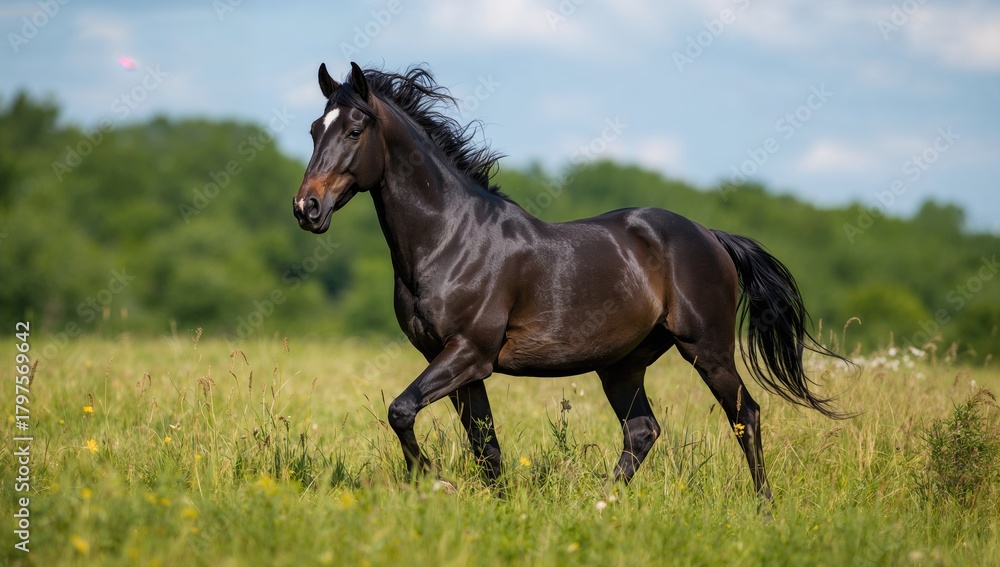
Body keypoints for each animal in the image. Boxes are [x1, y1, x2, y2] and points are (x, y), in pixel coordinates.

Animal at [292, 62, 849, 501]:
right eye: (316, 129)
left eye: (354, 131)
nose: (307, 208)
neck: (451, 238)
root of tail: (710, 236)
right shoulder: (453, 361)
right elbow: (485, 446)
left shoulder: (469, 352)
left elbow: (402, 410)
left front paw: (436, 481)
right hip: (623, 364)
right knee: (642, 431)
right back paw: (600, 503)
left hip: (707, 350)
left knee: (745, 415)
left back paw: (764, 508)